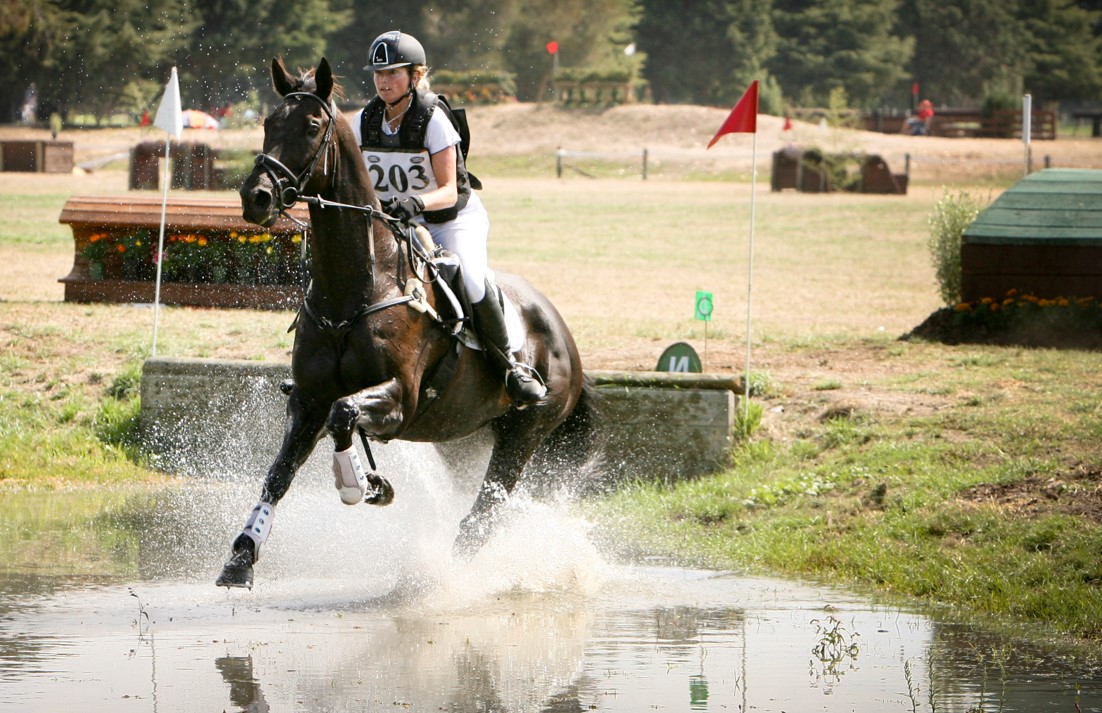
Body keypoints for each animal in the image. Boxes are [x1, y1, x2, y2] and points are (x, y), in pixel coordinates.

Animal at [216, 57, 597, 589]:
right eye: (269, 122)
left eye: (311, 127)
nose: (256, 198)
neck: (356, 286)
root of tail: (564, 335)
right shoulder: (309, 400)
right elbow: (279, 472)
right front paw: (241, 556)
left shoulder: (399, 399)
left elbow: (345, 415)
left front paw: (356, 483)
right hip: (463, 433)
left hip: (525, 431)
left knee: (485, 511)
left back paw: (448, 580)